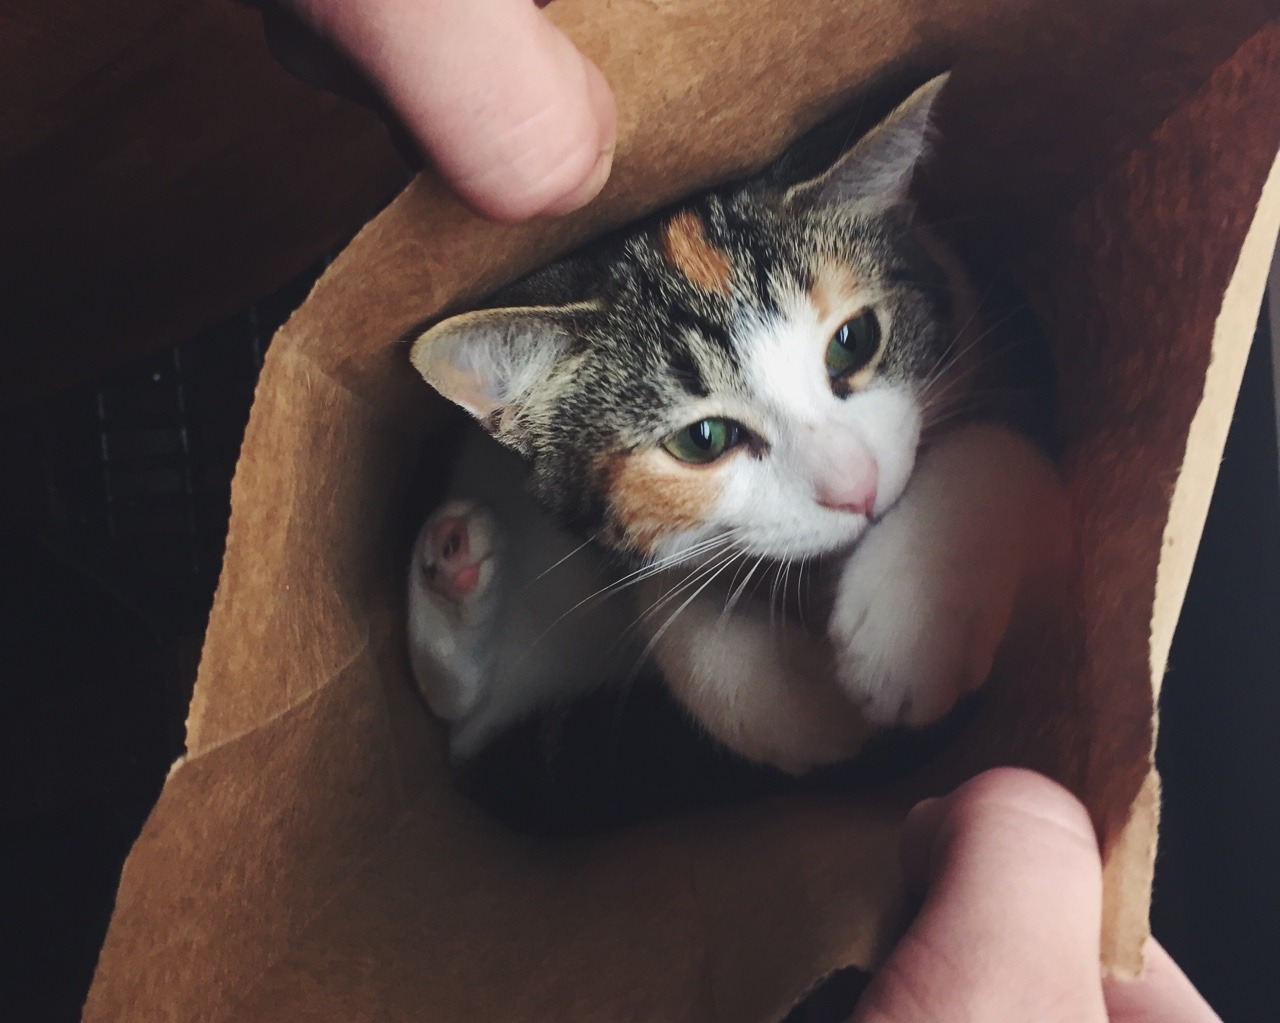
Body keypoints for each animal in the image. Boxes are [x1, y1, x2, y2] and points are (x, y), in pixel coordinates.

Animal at [406, 74, 1070, 773]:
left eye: (854, 340)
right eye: (702, 441)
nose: (857, 490)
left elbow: (999, 448)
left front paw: (907, 621)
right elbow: (662, 598)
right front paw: (803, 703)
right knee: (455, 711)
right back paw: (450, 562)